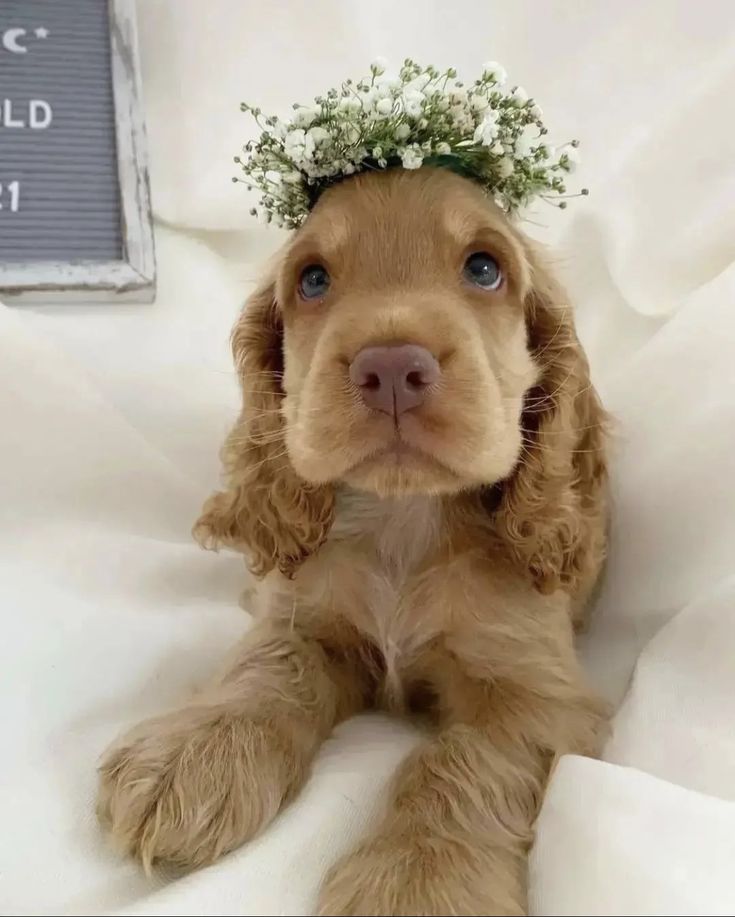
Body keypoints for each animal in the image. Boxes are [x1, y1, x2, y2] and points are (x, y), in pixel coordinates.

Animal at [100, 166, 612, 916]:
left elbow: (461, 765)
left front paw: (420, 878)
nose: (393, 367)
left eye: (484, 268)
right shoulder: (301, 614)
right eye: (313, 279)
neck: (401, 521)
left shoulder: (538, 693)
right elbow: (265, 669)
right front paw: (192, 755)